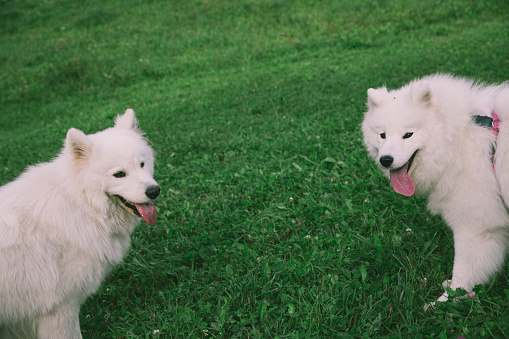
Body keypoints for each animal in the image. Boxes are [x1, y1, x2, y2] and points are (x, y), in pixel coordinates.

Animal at [362, 73, 508, 306]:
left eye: (408, 135)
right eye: (382, 135)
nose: (385, 160)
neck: (455, 139)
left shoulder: (476, 227)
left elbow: (464, 271)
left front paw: (445, 301)